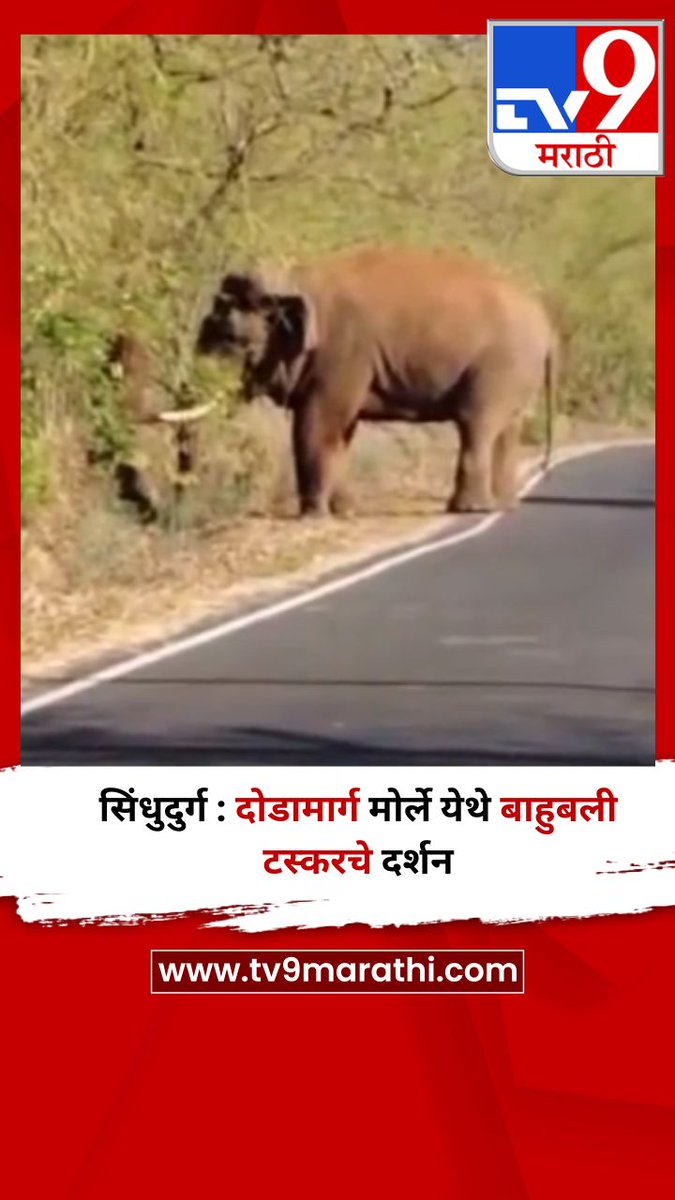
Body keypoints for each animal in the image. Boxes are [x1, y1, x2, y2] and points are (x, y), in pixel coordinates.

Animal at [193, 247, 558, 518]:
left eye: (233, 340)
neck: (294, 279)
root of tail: (546, 325)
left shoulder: (343, 352)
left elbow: (316, 425)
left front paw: (313, 517)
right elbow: (342, 431)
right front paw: (345, 512)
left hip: (499, 367)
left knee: (476, 424)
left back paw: (470, 509)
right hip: (515, 375)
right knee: (506, 430)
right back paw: (503, 505)